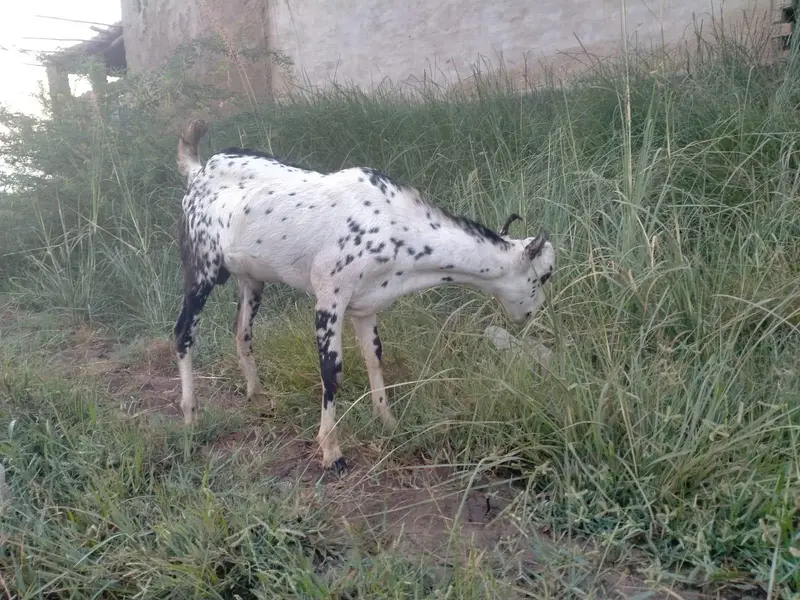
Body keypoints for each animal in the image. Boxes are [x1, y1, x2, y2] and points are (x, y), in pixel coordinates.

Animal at [174, 119, 556, 474]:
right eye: (545, 275)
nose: (532, 313)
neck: (396, 226)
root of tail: (199, 172)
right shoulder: (330, 298)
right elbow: (332, 371)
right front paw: (332, 451)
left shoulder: (366, 305)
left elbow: (374, 358)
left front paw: (388, 422)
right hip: (201, 266)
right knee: (183, 333)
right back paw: (191, 417)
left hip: (251, 280)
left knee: (242, 332)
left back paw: (257, 396)